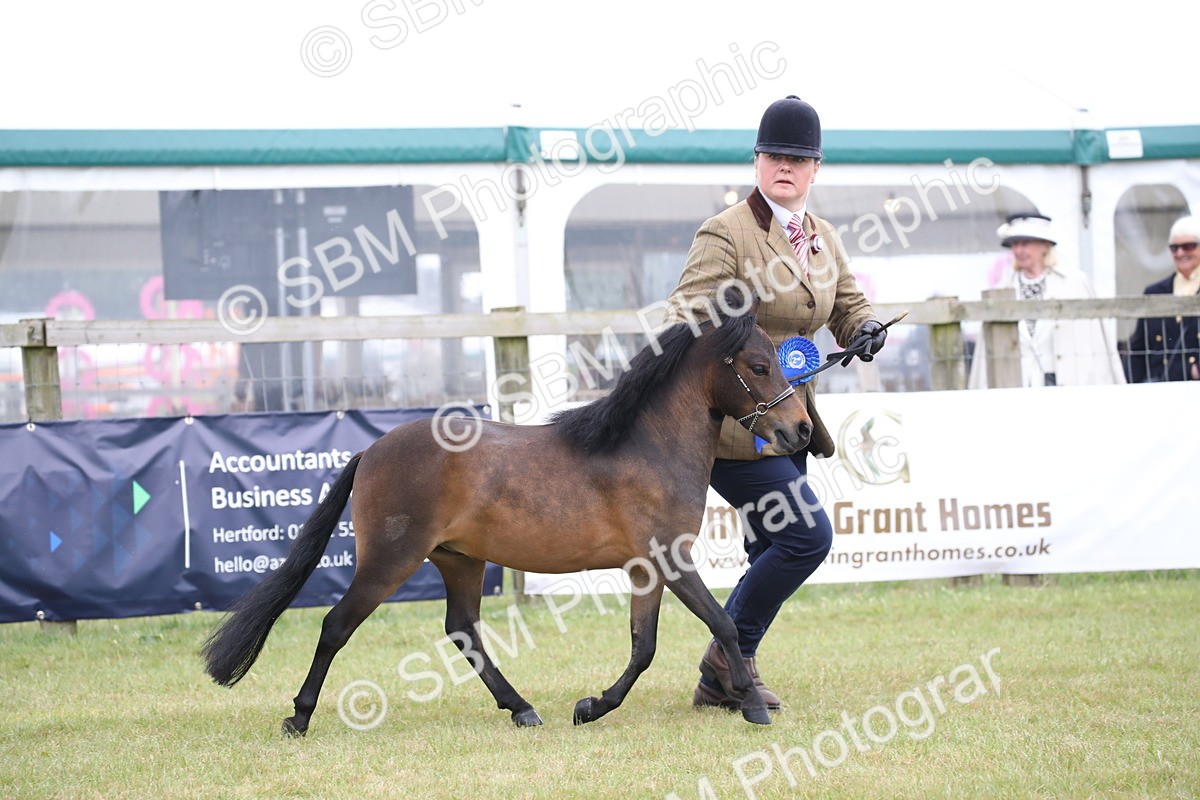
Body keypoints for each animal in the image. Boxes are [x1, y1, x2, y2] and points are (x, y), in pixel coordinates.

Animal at [202, 289, 813, 732]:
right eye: (759, 365)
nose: (800, 431)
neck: (646, 445)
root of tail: (371, 452)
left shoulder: (648, 569)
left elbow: (644, 647)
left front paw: (590, 707)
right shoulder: (671, 561)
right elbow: (722, 623)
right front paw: (752, 706)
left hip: (460, 560)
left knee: (462, 630)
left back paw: (522, 708)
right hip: (390, 560)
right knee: (336, 625)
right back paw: (299, 716)